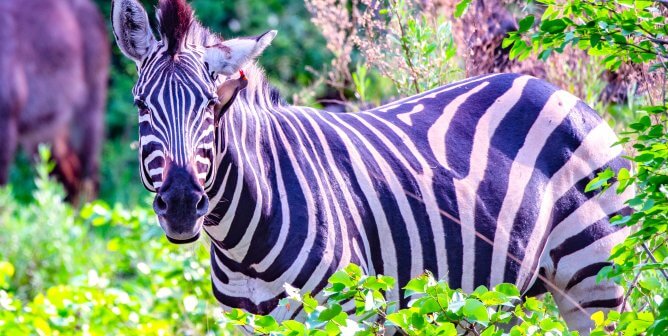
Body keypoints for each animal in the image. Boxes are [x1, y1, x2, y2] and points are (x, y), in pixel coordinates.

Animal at [113, 0, 632, 330]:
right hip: (500, 298)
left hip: (597, 281)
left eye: (209, 107)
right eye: (141, 105)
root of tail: (559, 91)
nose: (182, 204)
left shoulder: (349, 314)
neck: (245, 245)